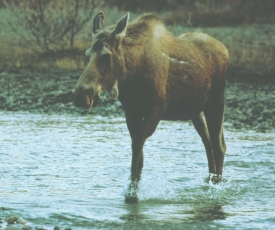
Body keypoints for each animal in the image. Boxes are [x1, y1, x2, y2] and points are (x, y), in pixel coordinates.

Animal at [74, 11, 230, 202]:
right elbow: (138, 151)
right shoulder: (131, 112)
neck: (130, 73)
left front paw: (132, 194)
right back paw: (209, 182)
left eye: (105, 55)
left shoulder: (155, 110)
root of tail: (226, 50)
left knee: (219, 145)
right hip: (195, 111)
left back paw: (216, 186)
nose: (81, 95)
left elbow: (137, 145)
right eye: (87, 54)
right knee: (208, 143)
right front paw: (132, 191)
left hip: (216, 101)